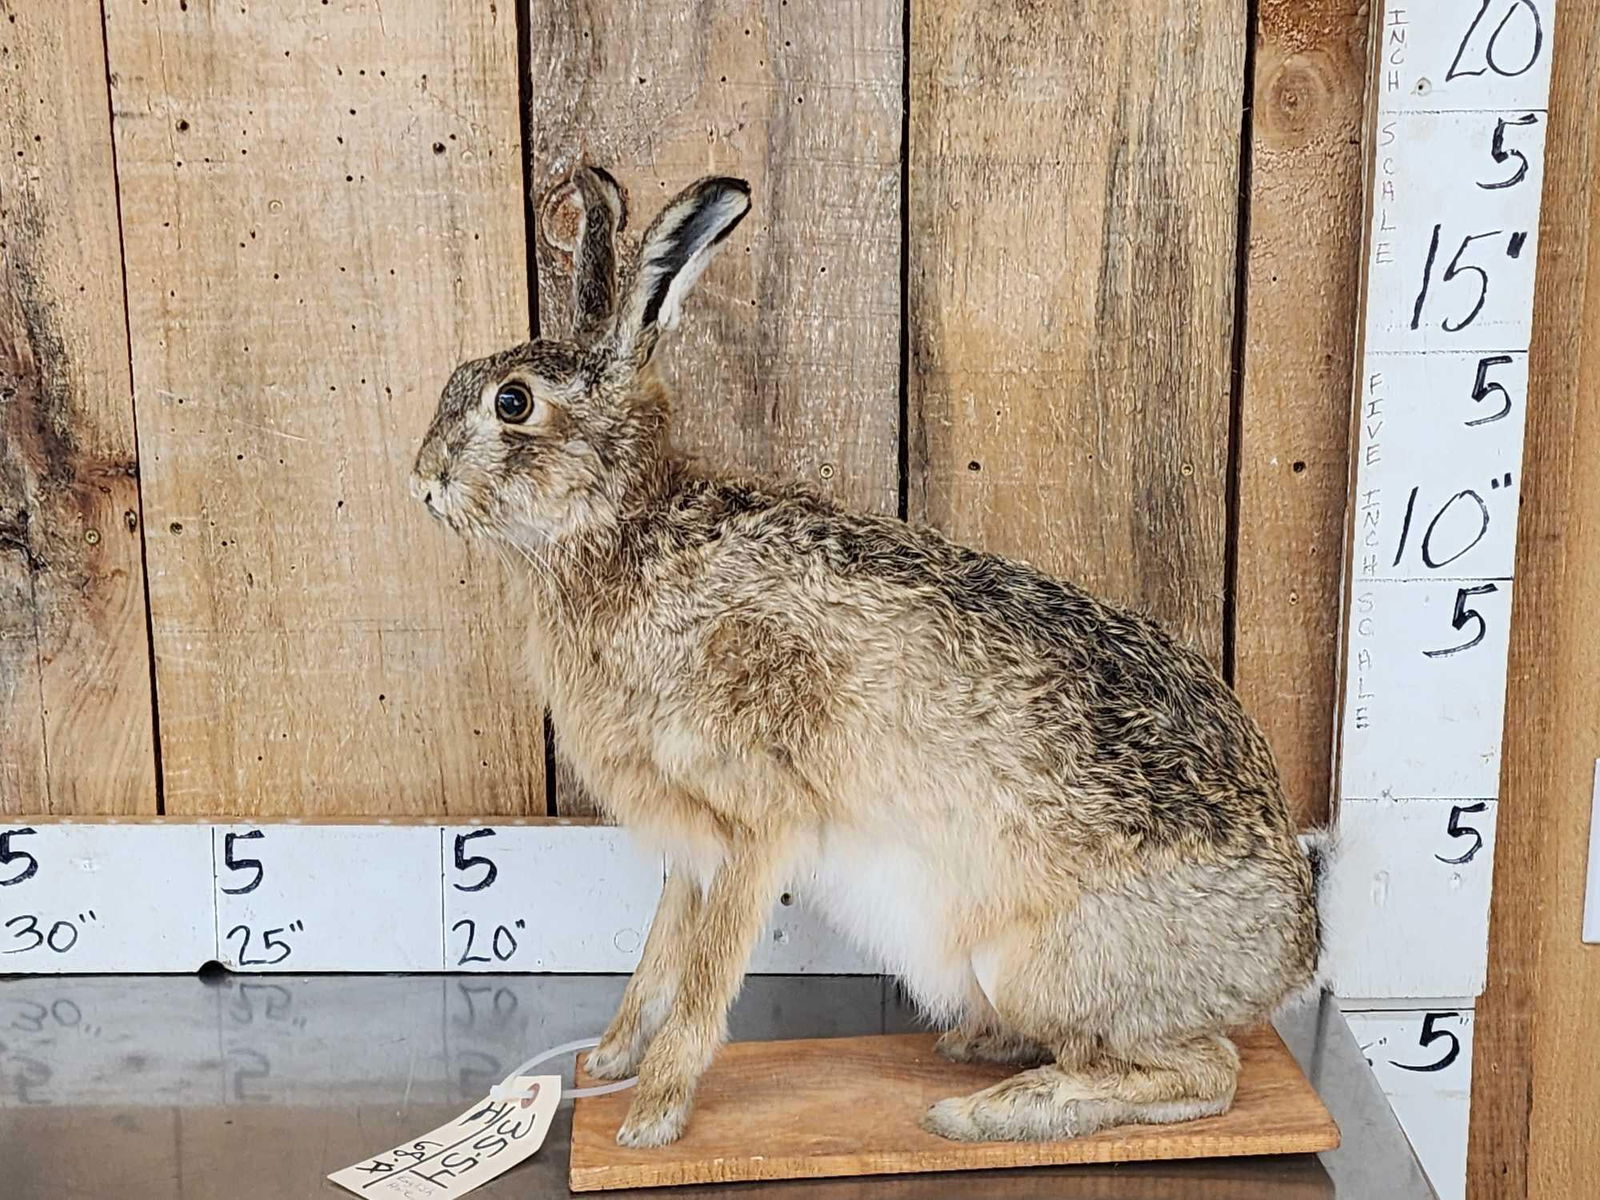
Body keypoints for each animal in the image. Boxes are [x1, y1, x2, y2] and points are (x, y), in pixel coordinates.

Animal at [411, 164, 1322, 1149]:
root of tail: (1293, 949)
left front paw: (652, 1118)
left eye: (512, 402)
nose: (422, 479)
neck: (619, 531)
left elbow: (703, 979)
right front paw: (610, 1063)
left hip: (1031, 963)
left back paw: (990, 1111)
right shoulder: (691, 845)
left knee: (1206, 1073)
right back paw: (984, 1052)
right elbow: (657, 956)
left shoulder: (758, 820)